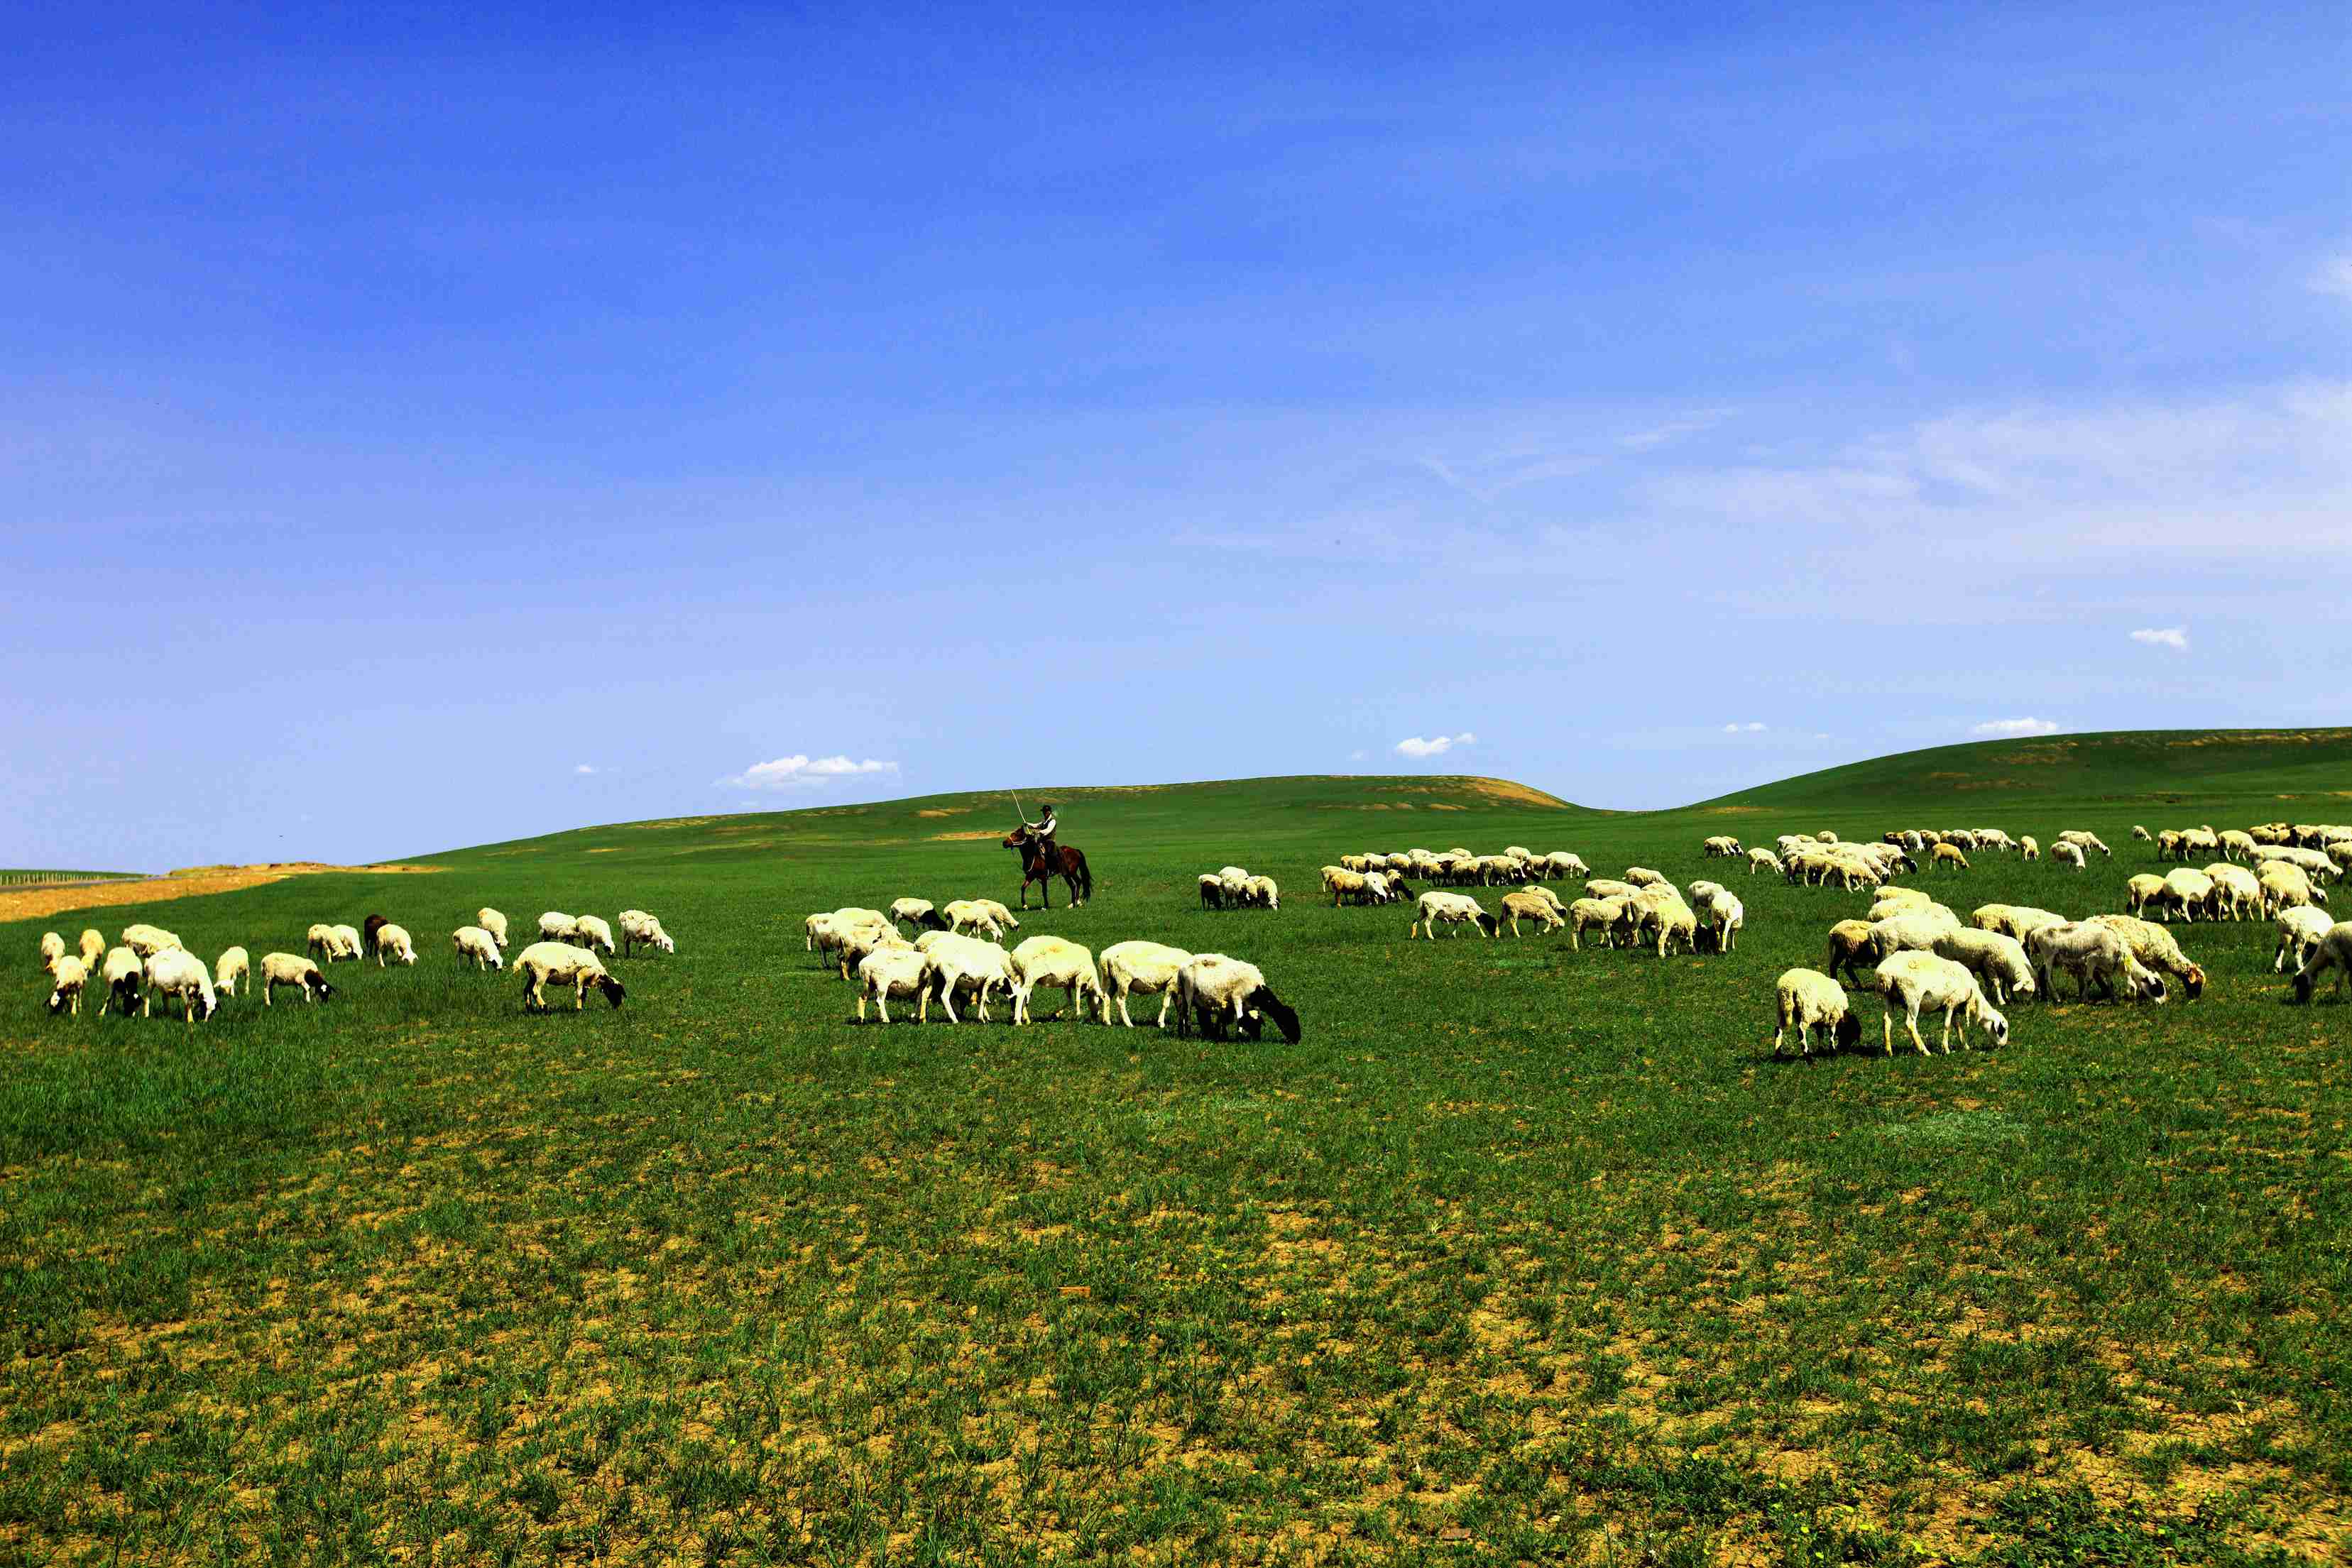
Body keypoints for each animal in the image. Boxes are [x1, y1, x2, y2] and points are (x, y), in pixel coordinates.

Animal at [515, 940, 625, 1011]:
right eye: (615, 990)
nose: (618, 1006)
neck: (598, 974)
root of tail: (525, 955)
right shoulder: (581, 976)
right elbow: (580, 994)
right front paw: (579, 1010)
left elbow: (584, 994)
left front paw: (581, 1007)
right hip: (541, 974)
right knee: (535, 991)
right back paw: (544, 1008)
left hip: (532, 975)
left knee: (527, 990)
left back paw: (530, 1009)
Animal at [1100, 945, 1195, 1029]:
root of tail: (1105, 955)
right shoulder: (1171, 983)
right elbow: (1166, 1005)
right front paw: (1161, 1023)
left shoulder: (1176, 988)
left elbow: (1179, 1006)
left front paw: (1182, 1023)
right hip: (1123, 979)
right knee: (1120, 1001)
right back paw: (1128, 1023)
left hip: (1114, 980)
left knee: (1107, 997)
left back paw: (1107, 1022)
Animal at [1176, 959, 1308, 1043]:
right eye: (1288, 1021)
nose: (1297, 1040)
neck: (1257, 990)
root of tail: (1182, 968)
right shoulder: (1236, 998)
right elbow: (1239, 1018)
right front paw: (1238, 1038)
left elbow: (1230, 1019)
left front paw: (1222, 1036)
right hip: (1189, 991)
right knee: (1187, 1014)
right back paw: (1188, 1035)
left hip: (1183, 993)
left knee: (1181, 1013)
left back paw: (1181, 1033)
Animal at [1768, 968, 1862, 1053]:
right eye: (1851, 1032)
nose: (1844, 1051)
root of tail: (1788, 986)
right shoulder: (1833, 1016)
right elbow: (1831, 1033)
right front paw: (1832, 1050)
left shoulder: (1820, 1019)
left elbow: (1820, 1034)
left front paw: (1820, 1050)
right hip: (1806, 1011)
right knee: (1801, 1032)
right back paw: (1807, 1056)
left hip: (1781, 1008)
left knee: (1778, 1029)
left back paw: (1778, 1054)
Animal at [1872, 949, 2003, 1062]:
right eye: (2002, 1030)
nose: (2003, 1047)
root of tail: (1885, 973)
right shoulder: (1951, 1002)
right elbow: (1947, 1025)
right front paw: (1946, 1049)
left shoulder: (1953, 1008)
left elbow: (1958, 1026)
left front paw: (1965, 1046)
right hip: (1913, 998)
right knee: (1910, 1024)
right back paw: (1925, 1051)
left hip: (1888, 997)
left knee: (1887, 1020)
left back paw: (1889, 1051)